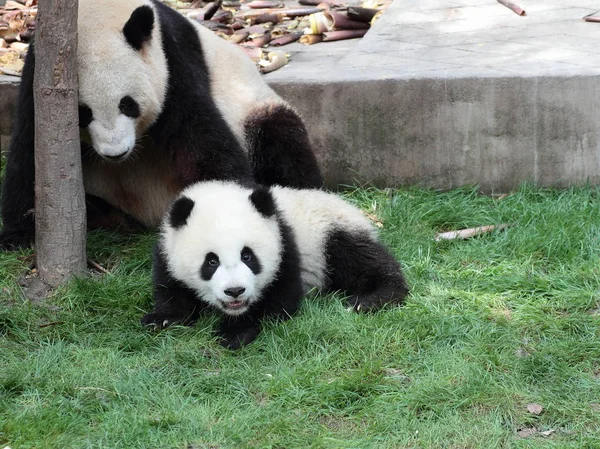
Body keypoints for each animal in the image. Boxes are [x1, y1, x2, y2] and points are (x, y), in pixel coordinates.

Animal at [0, 0, 324, 248]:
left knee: (280, 140)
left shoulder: (172, 60)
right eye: (84, 114)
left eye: (127, 104)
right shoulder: (40, 74)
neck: (94, 15)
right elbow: (32, 148)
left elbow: (202, 137)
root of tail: (153, 216)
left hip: (251, 106)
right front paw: (18, 234)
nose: (115, 153)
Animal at [143, 180, 410, 348]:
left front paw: (234, 332)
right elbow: (170, 288)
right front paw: (162, 319)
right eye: (211, 261)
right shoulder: (167, 249)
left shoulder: (284, 244)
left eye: (247, 256)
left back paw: (369, 299)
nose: (235, 291)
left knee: (362, 260)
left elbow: (280, 298)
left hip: (330, 233)